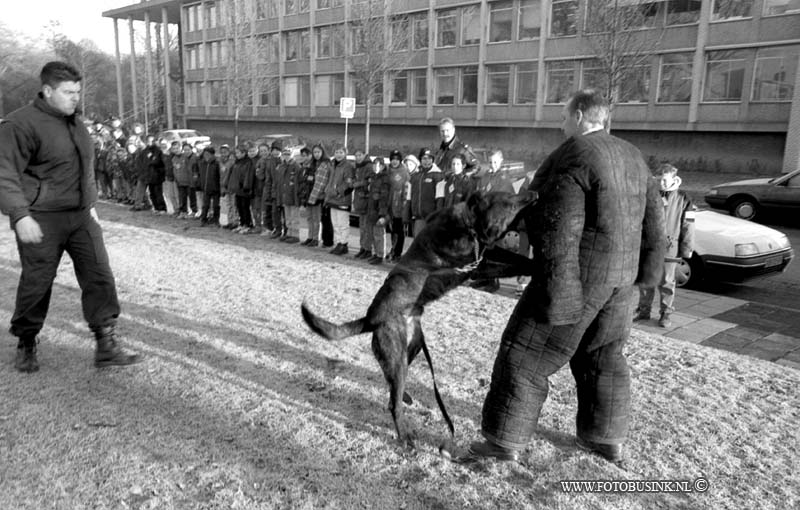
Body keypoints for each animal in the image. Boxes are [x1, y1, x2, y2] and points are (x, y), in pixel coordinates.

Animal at [300, 190, 536, 450]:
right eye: (509, 201)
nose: (533, 193)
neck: (467, 222)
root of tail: (371, 318)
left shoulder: (485, 255)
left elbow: (513, 258)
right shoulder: (475, 265)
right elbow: (512, 263)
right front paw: (538, 264)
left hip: (409, 350)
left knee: (392, 386)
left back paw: (404, 397)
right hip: (398, 356)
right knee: (393, 402)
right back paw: (405, 436)